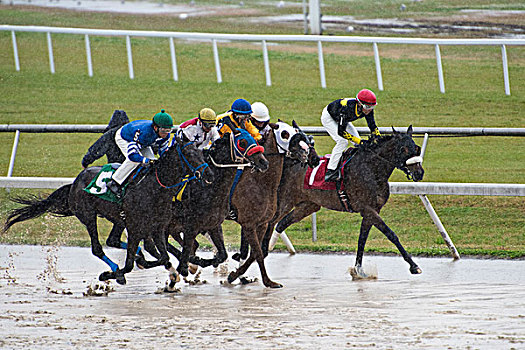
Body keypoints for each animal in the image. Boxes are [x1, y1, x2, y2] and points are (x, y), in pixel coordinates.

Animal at [3, 135, 213, 286]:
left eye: (202, 154)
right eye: (190, 155)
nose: (209, 174)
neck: (154, 187)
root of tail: (74, 183)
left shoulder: (157, 226)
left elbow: (163, 256)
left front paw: (178, 269)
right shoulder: (136, 227)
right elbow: (131, 263)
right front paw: (111, 274)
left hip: (117, 218)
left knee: (113, 240)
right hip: (88, 216)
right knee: (97, 248)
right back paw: (116, 269)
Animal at [272, 127, 424, 278]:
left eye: (417, 148)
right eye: (403, 149)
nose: (419, 173)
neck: (372, 169)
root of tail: (288, 163)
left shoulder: (372, 210)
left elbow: (362, 239)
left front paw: (358, 270)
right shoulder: (367, 209)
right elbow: (391, 234)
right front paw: (414, 266)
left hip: (308, 205)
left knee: (281, 223)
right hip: (285, 201)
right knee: (270, 221)